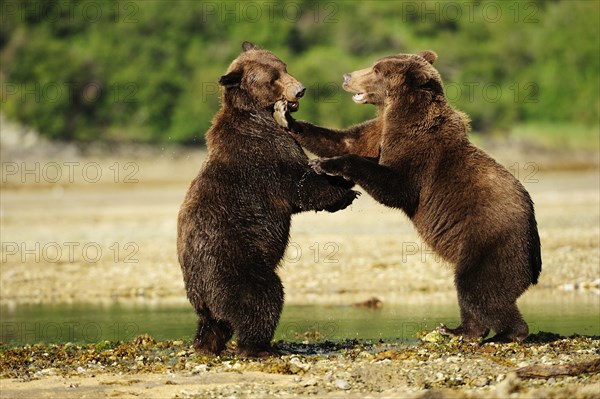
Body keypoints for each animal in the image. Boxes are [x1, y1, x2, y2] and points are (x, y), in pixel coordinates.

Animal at [176, 42, 358, 358]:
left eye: (284, 67)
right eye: (272, 78)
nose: (300, 90)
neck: (258, 115)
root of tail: (199, 290)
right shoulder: (264, 154)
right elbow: (299, 187)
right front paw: (345, 190)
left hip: (208, 293)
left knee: (213, 323)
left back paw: (204, 345)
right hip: (235, 265)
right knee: (262, 298)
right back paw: (259, 347)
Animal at [284, 50, 540, 344]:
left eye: (376, 69)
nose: (347, 76)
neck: (399, 112)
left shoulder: (419, 154)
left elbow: (396, 187)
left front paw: (325, 164)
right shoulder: (380, 129)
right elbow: (344, 140)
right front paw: (289, 120)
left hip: (491, 240)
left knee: (479, 288)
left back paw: (505, 334)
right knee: (470, 292)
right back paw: (457, 330)